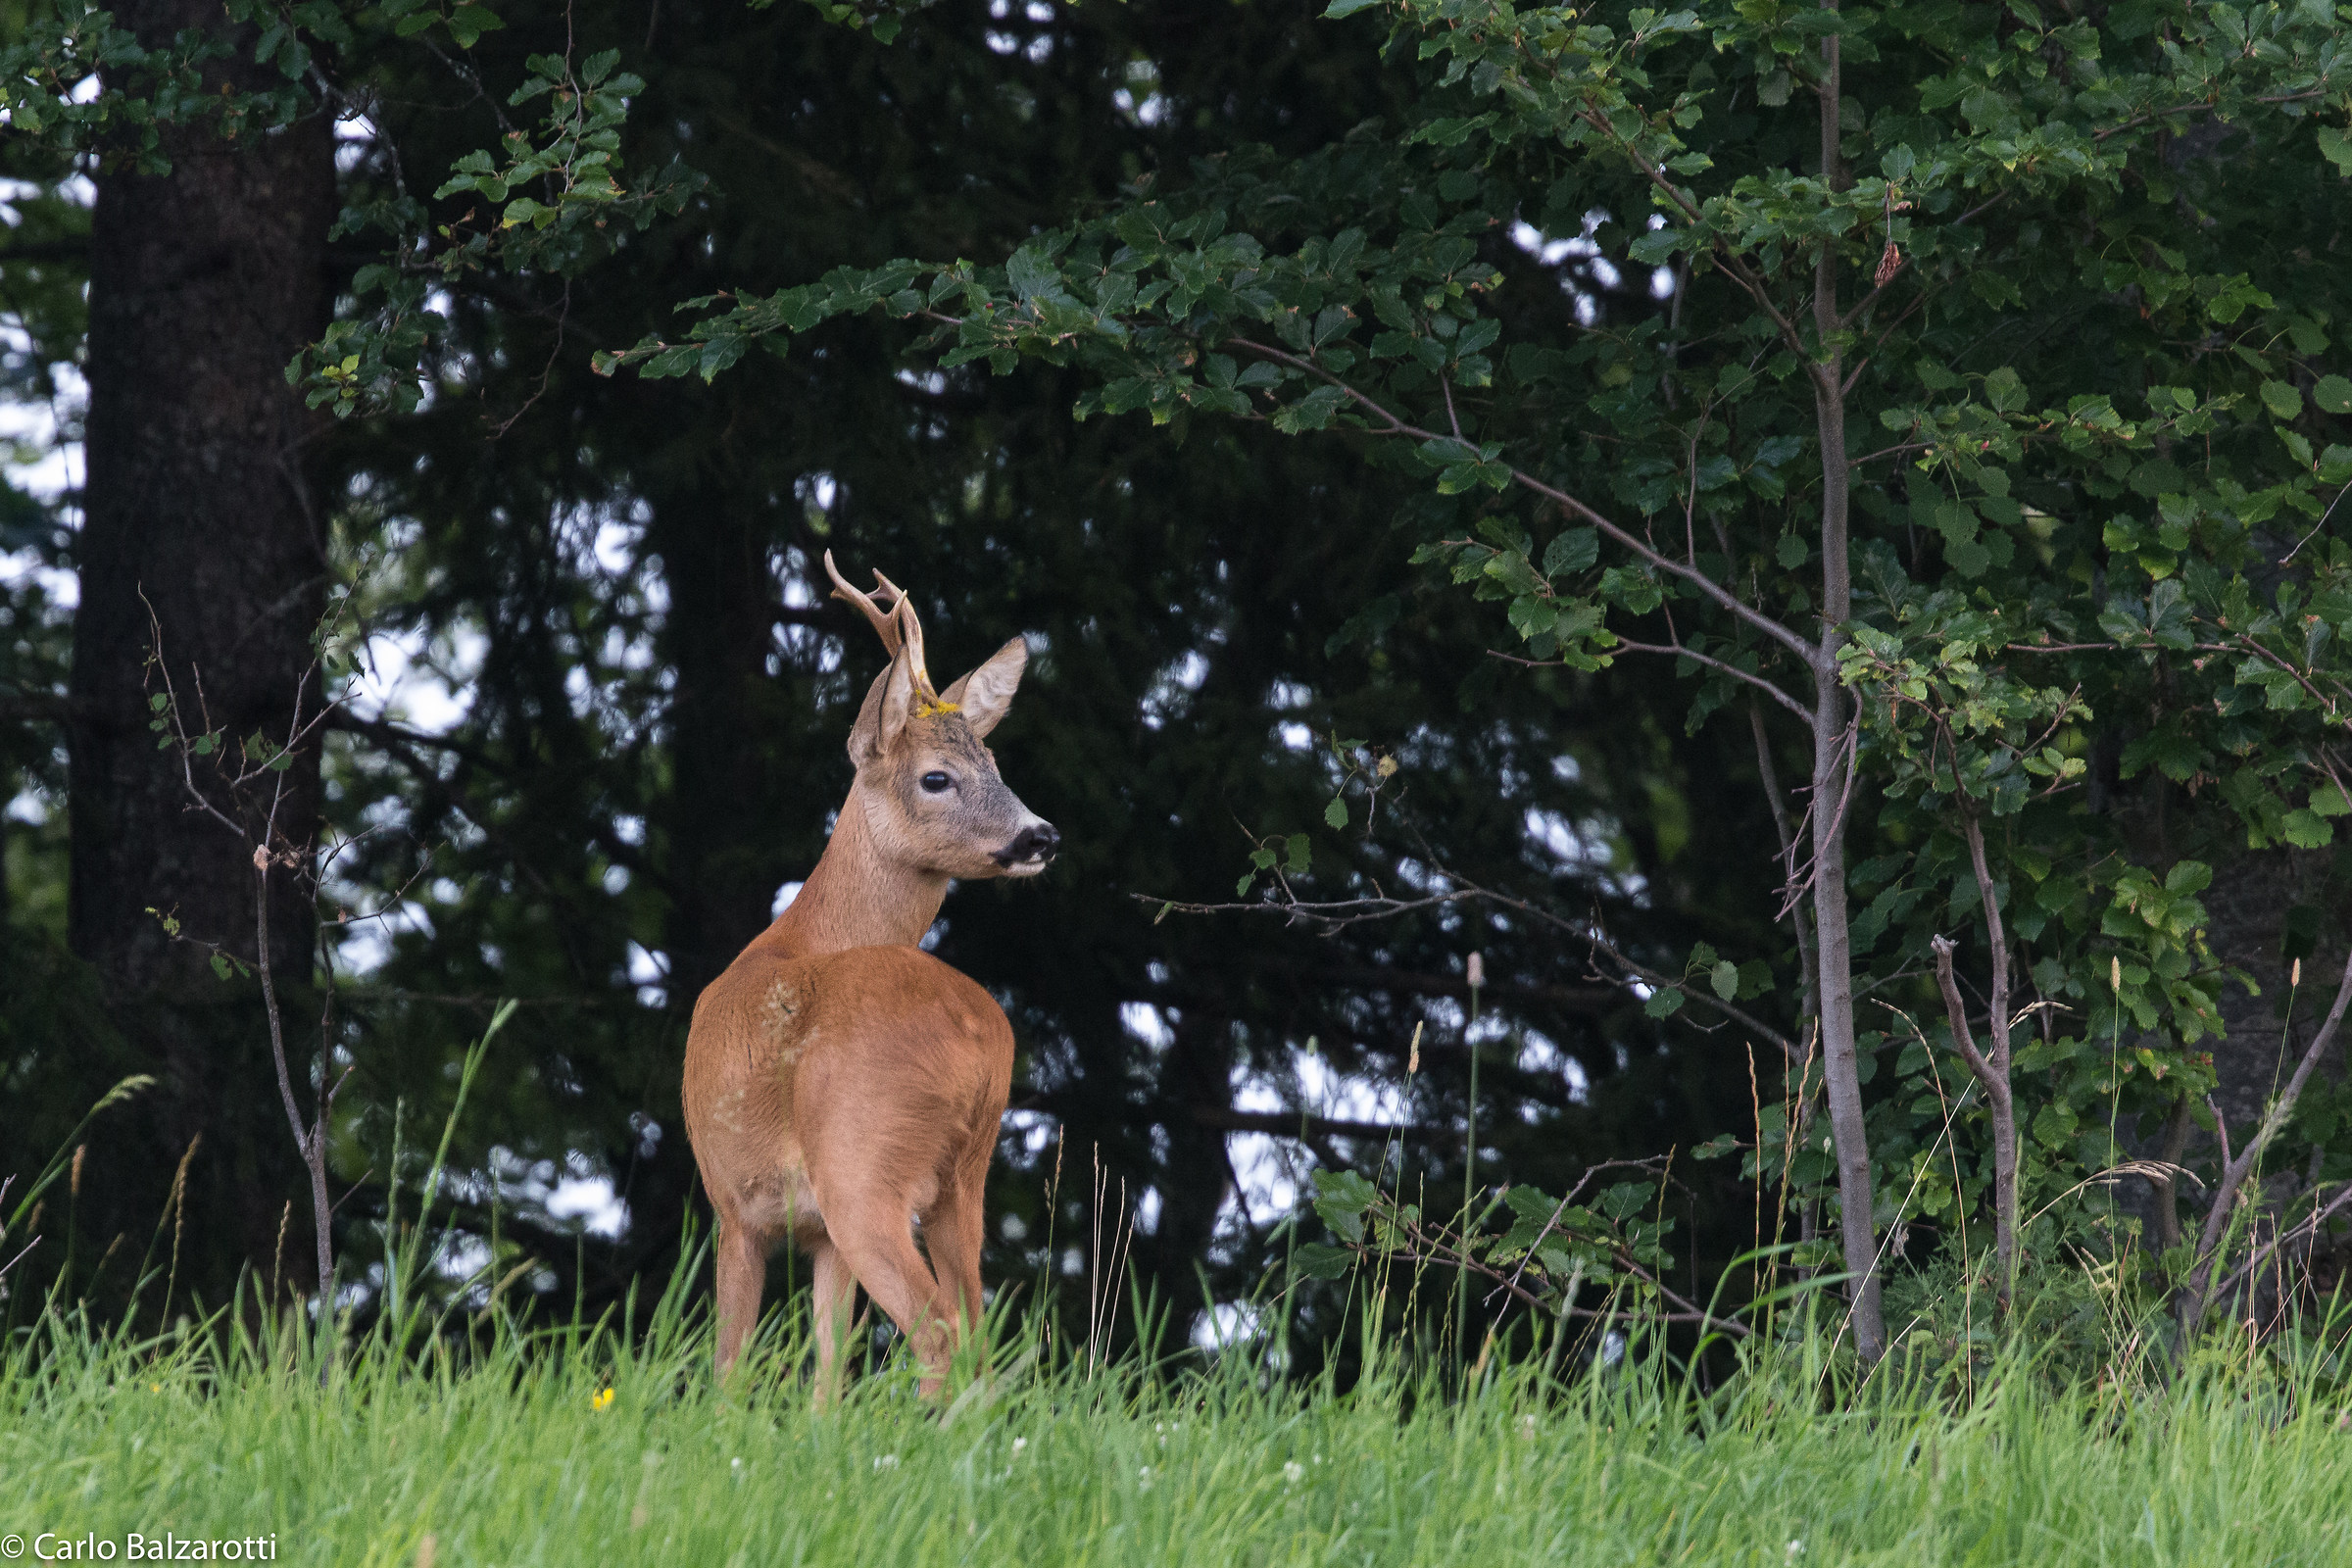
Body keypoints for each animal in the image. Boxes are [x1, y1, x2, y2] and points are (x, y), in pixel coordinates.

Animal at [681, 552, 1058, 1398]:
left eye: (994, 764)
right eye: (939, 777)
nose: (1041, 835)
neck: (800, 935)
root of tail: (979, 1043)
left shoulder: (732, 1203)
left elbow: (728, 1372)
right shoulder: (814, 1233)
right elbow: (826, 1376)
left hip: (863, 1165)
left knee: (942, 1341)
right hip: (966, 1179)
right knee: (978, 1336)